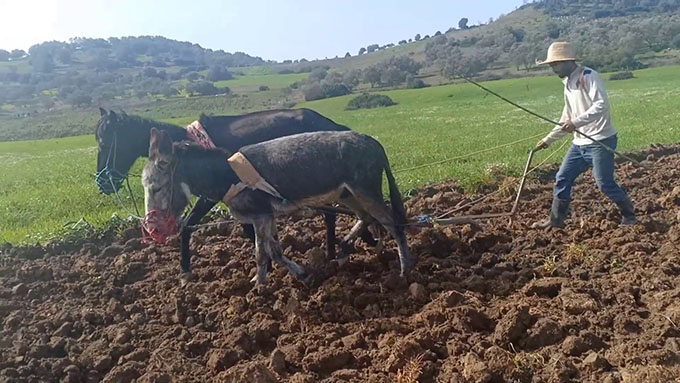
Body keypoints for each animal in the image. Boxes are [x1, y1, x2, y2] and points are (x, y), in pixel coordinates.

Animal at [94, 109, 372, 260]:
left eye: (104, 142)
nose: (102, 182)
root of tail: (334, 125)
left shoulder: (212, 195)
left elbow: (190, 224)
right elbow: (249, 229)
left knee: (333, 214)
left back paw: (338, 249)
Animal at [143, 129, 414, 284]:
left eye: (156, 188)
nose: (152, 230)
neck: (227, 175)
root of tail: (372, 142)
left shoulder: (261, 216)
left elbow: (261, 252)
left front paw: (259, 288)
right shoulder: (267, 216)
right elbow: (274, 251)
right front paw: (300, 276)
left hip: (365, 189)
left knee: (392, 223)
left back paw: (404, 270)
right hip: (347, 193)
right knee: (366, 217)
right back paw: (344, 249)